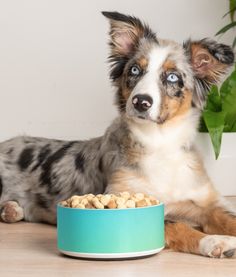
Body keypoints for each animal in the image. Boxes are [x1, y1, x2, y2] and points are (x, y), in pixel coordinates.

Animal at [0, 10, 236, 256]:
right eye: (134, 70)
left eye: (172, 77)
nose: (141, 101)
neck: (160, 142)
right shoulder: (123, 196)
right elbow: (176, 225)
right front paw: (215, 241)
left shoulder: (204, 201)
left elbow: (226, 216)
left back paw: (12, 210)